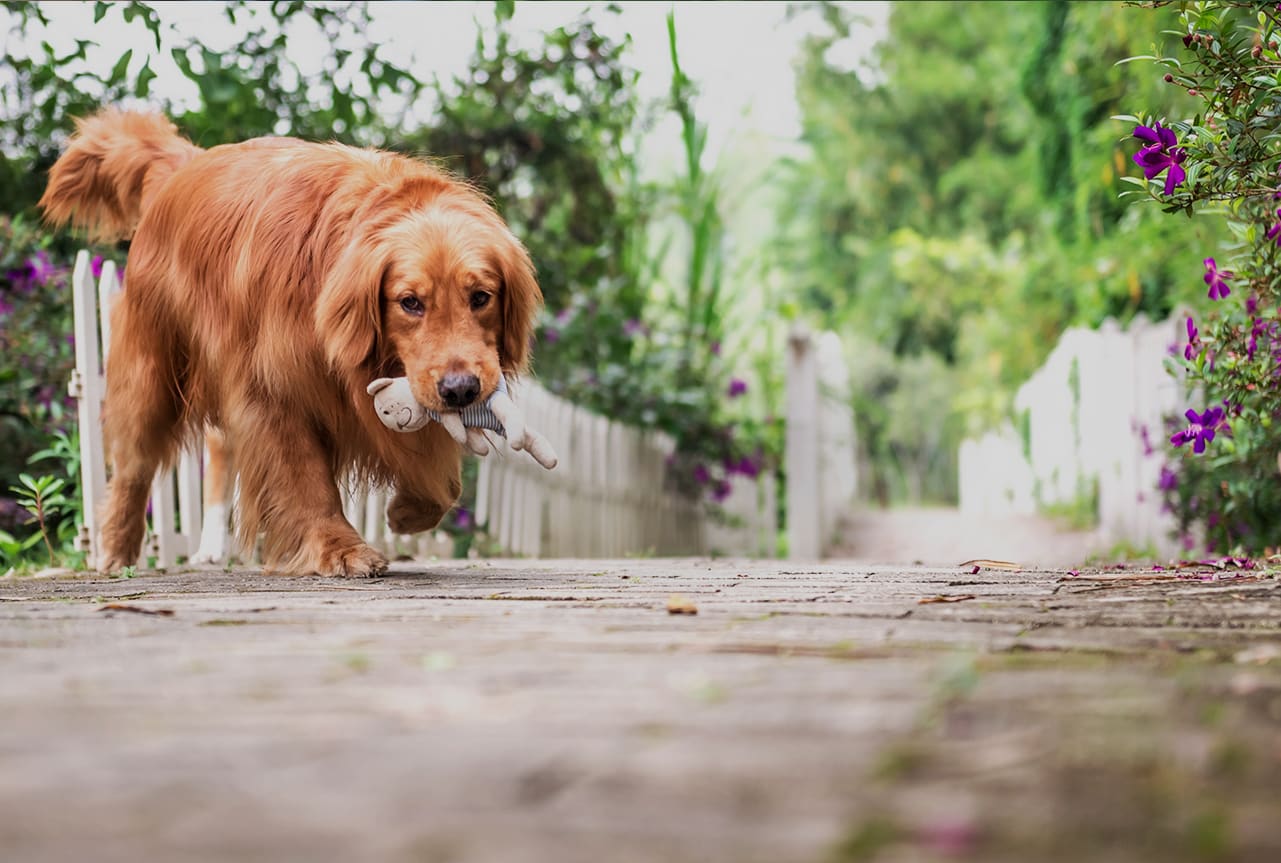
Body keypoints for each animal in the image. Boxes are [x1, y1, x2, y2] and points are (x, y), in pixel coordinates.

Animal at [40, 110, 540, 573]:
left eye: (481, 297)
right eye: (410, 302)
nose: (461, 391)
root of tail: (189, 164)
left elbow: (442, 478)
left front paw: (408, 511)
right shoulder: (273, 390)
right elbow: (305, 476)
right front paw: (339, 548)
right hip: (152, 373)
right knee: (135, 465)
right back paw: (119, 551)